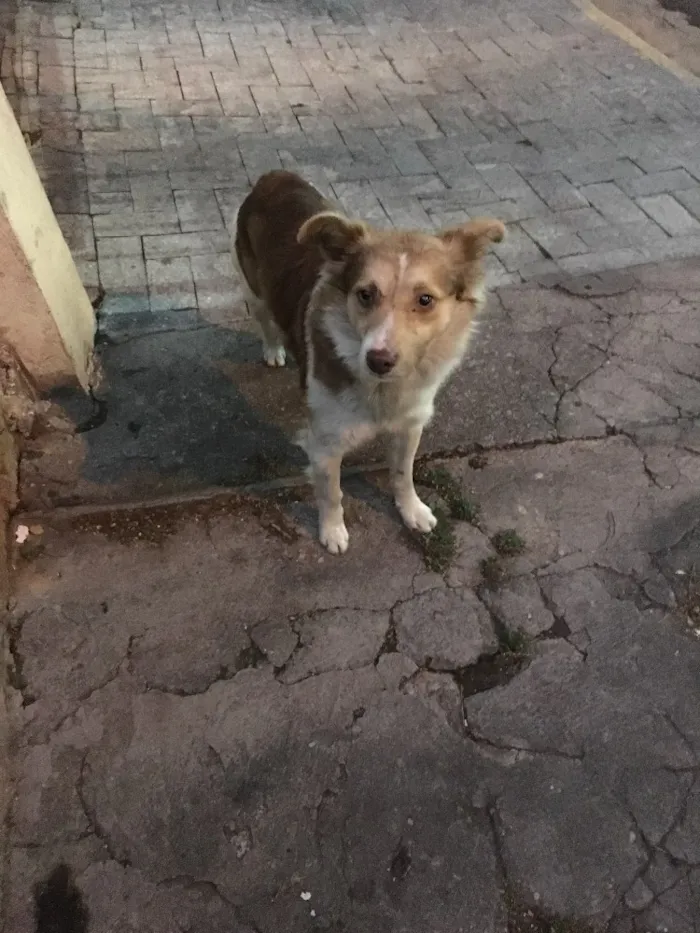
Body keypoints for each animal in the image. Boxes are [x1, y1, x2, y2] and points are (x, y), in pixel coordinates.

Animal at [234, 171, 504, 552]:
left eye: (425, 300)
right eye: (365, 294)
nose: (378, 360)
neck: (382, 391)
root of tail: (274, 177)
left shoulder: (410, 424)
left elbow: (403, 474)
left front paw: (412, 510)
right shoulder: (324, 444)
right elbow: (332, 493)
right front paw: (332, 532)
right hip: (254, 287)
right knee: (264, 318)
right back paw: (274, 349)